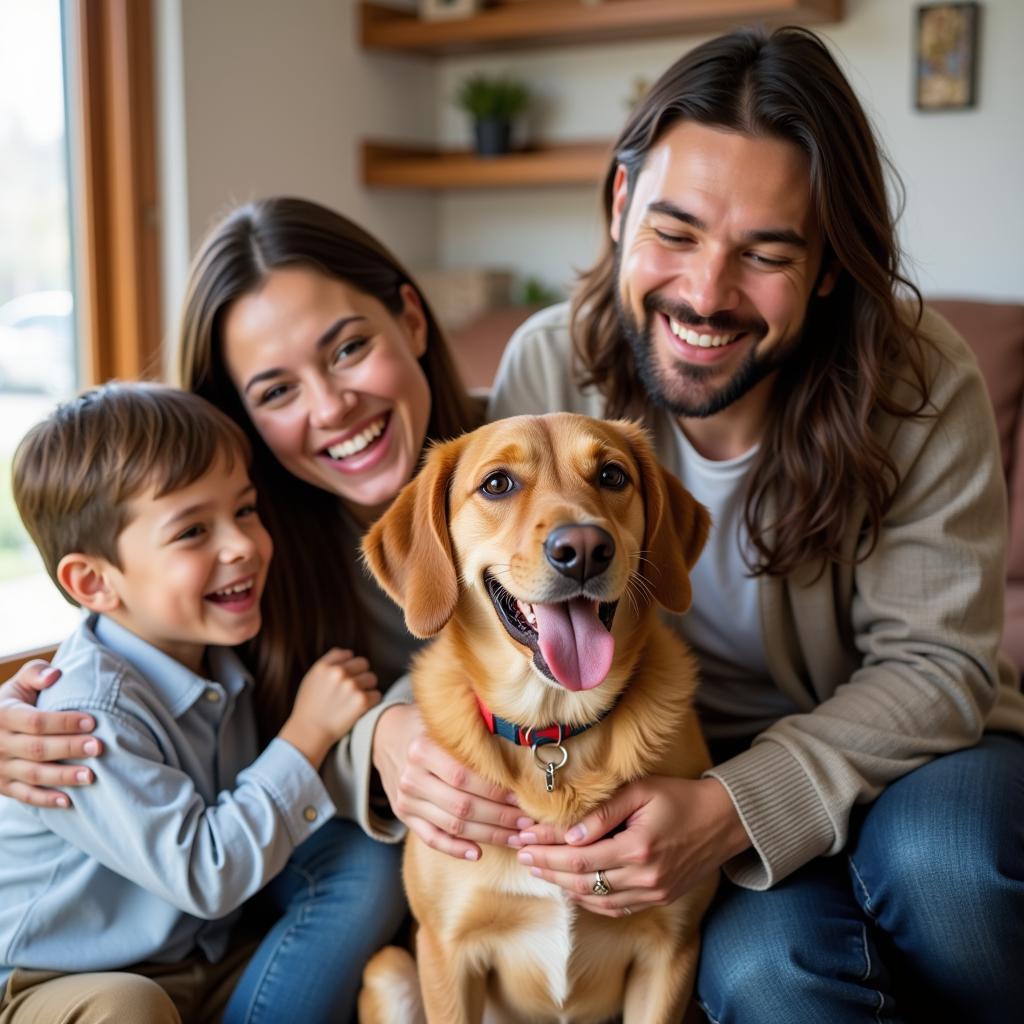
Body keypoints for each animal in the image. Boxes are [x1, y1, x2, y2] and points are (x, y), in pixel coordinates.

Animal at [356, 411, 716, 1024]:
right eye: (497, 484)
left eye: (612, 475)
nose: (584, 547)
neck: (554, 728)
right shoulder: (446, 954)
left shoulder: (671, 952)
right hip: (389, 970)